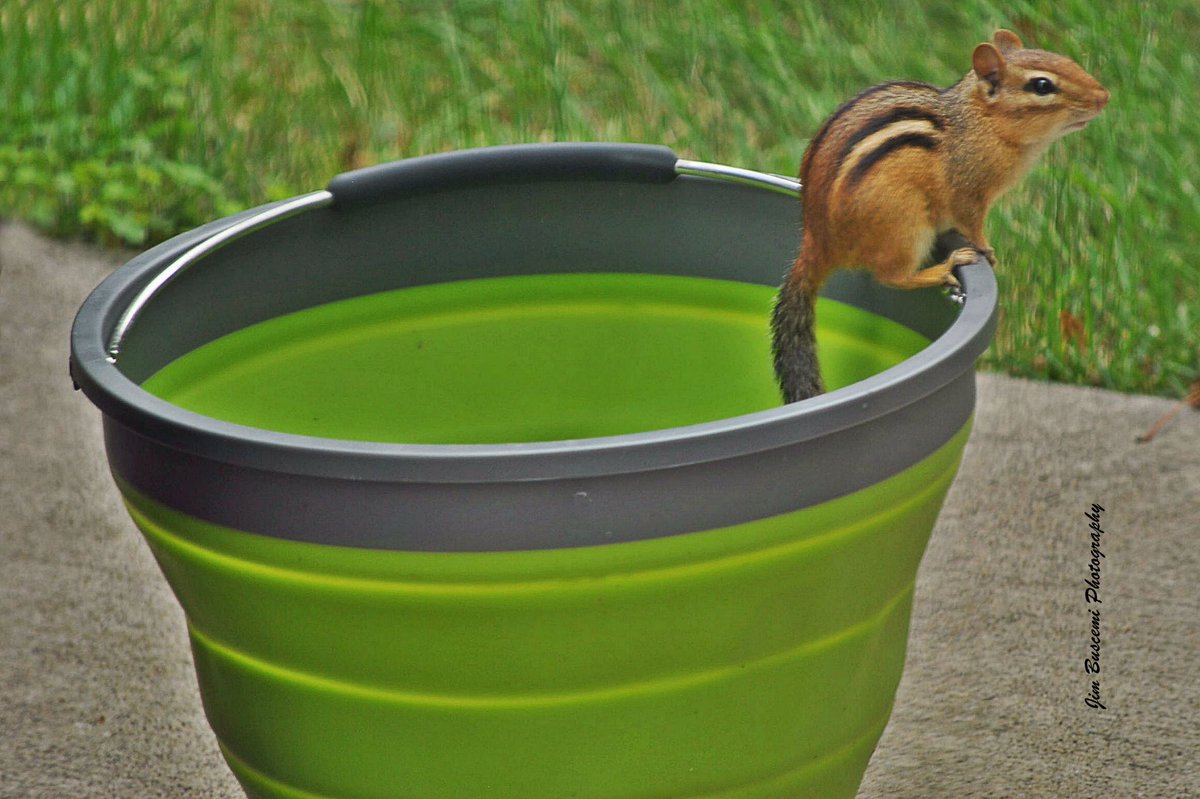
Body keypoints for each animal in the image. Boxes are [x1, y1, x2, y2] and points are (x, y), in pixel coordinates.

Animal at [771, 29, 1109, 403]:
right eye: (1042, 85)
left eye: (1067, 61)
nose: (1104, 96)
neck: (982, 122)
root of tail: (818, 241)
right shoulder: (969, 193)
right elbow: (972, 224)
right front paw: (986, 249)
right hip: (905, 224)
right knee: (891, 276)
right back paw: (943, 267)